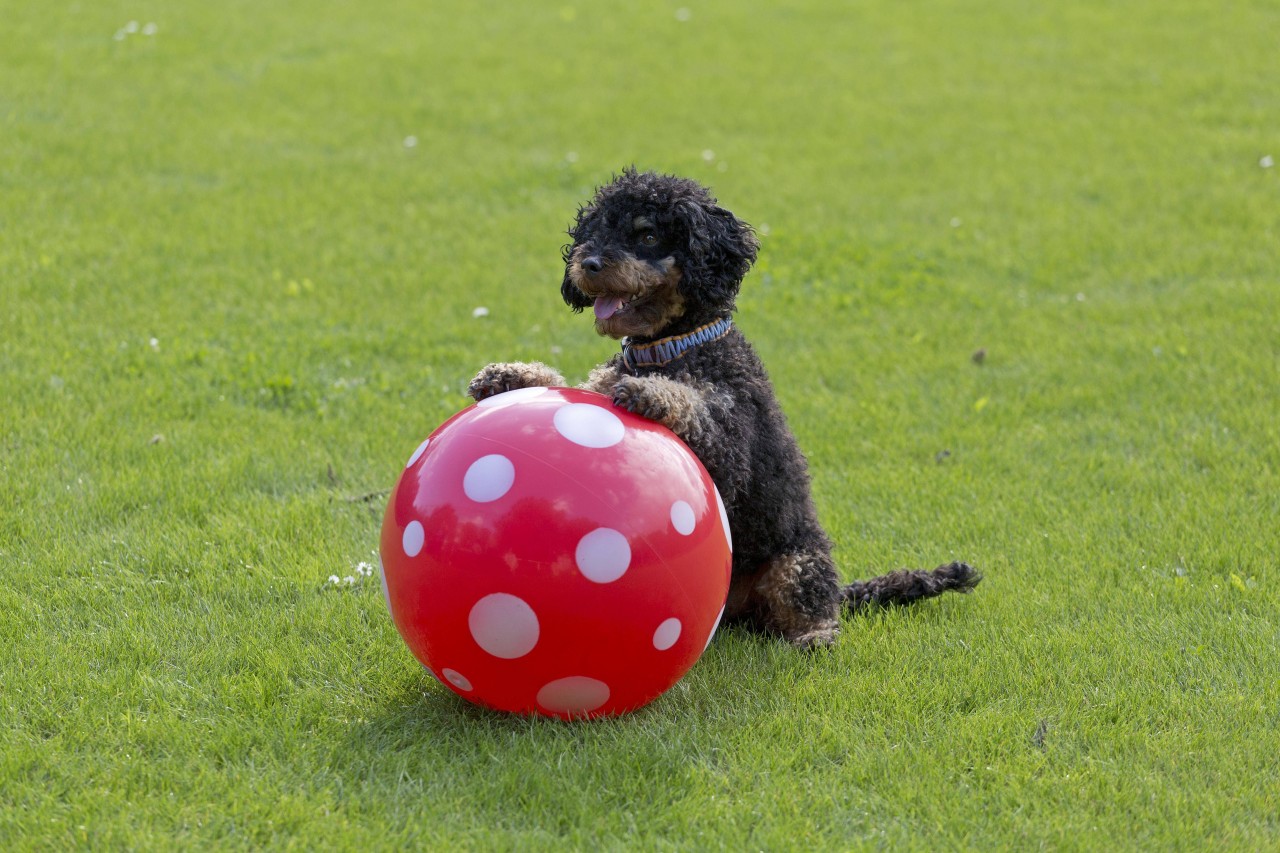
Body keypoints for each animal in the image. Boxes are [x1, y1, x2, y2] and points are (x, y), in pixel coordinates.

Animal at [471, 166, 977, 645]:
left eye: (647, 234)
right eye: (594, 230)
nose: (589, 262)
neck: (670, 348)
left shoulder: (729, 449)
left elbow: (695, 408)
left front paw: (652, 393)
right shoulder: (601, 384)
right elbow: (570, 382)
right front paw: (512, 375)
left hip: (797, 560)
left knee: (813, 605)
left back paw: (814, 635)